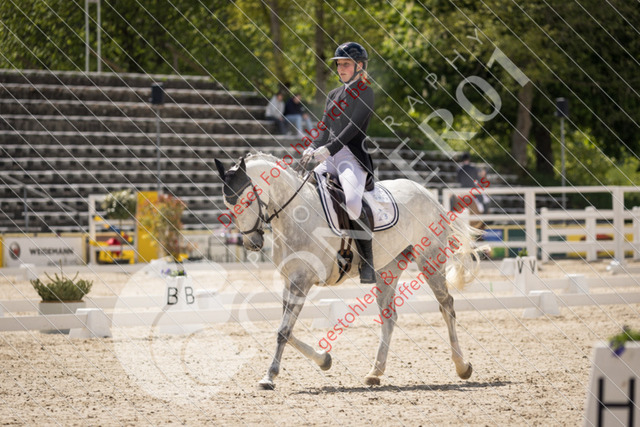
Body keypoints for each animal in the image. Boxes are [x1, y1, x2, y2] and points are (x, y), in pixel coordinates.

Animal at [214, 152, 481, 390]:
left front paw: (269, 377)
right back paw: (375, 372)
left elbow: (283, 331)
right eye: (228, 204)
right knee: (389, 316)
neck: (296, 214)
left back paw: (462, 366)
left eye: (247, 201)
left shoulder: (302, 280)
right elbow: (286, 330)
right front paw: (324, 359)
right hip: (388, 268)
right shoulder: (290, 281)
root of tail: (426, 193)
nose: (253, 243)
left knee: (446, 306)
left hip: (429, 259)